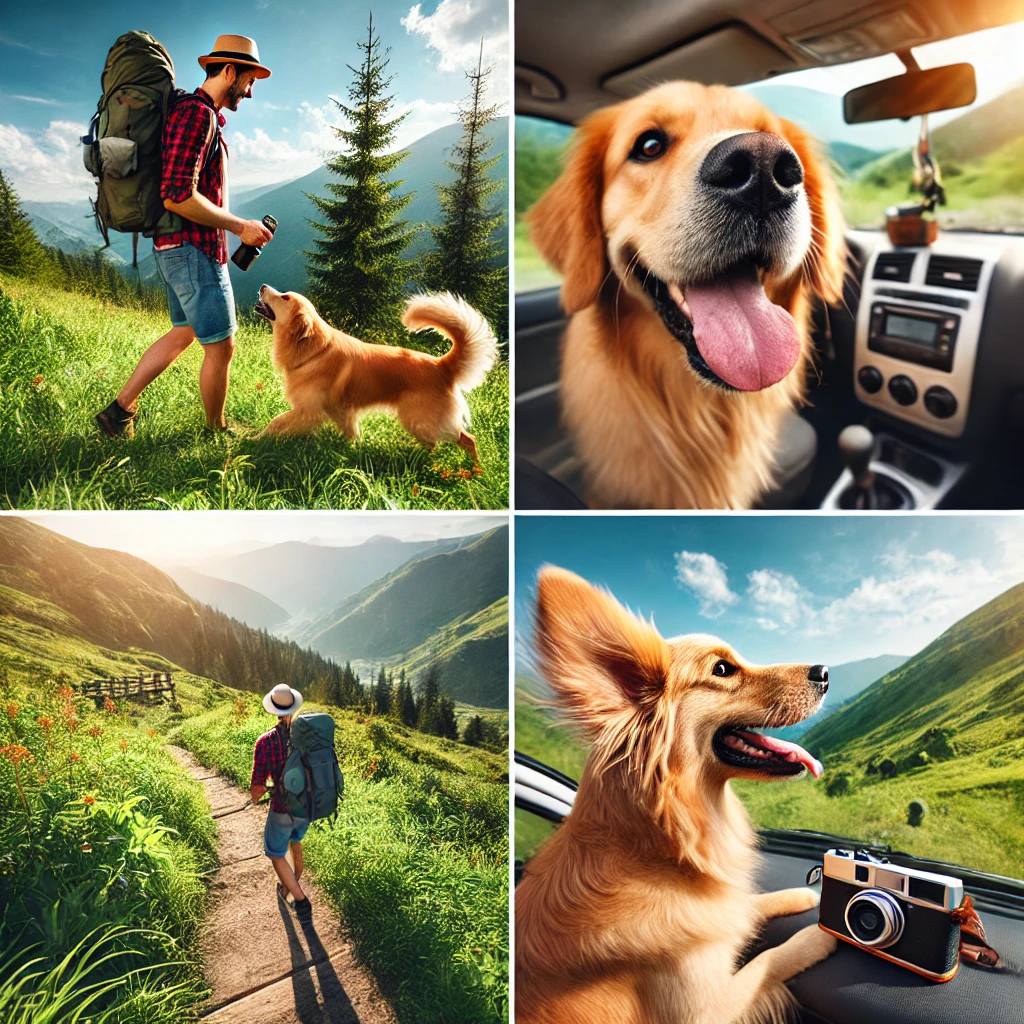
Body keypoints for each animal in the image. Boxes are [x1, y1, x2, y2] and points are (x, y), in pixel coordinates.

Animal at [253, 286, 497, 466]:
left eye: (285, 297)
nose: (263, 286)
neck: (314, 351)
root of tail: (441, 365)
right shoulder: (339, 412)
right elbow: (278, 422)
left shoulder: (311, 411)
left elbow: (281, 427)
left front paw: (262, 443)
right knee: (441, 443)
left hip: (420, 419)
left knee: (466, 440)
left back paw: (475, 471)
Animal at [516, 569, 835, 1024]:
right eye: (723, 669)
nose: (825, 672)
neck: (660, 852)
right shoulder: (706, 1009)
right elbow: (769, 959)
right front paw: (818, 937)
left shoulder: (717, 918)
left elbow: (747, 906)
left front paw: (803, 895)